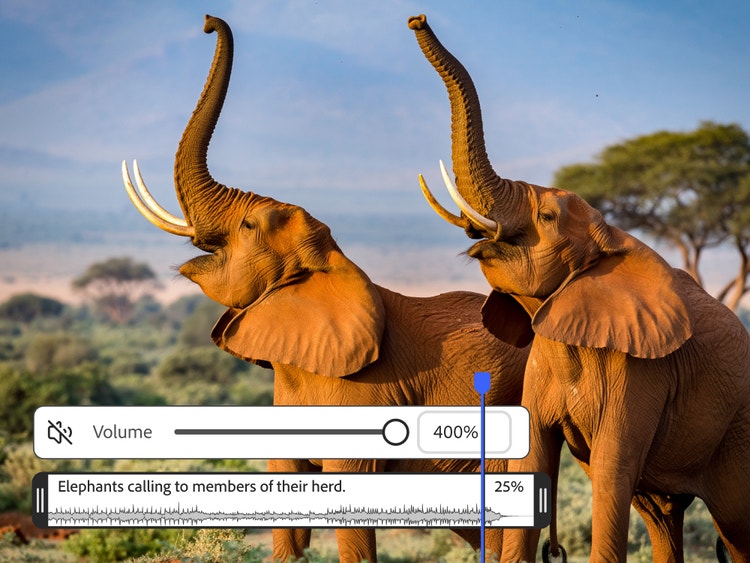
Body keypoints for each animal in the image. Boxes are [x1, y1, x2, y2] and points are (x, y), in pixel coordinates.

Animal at [408, 13, 750, 563]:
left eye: (547, 217)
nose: (416, 18)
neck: (611, 238)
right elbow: (530, 460)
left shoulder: (640, 373)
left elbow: (612, 472)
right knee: (661, 515)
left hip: (737, 429)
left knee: (736, 524)